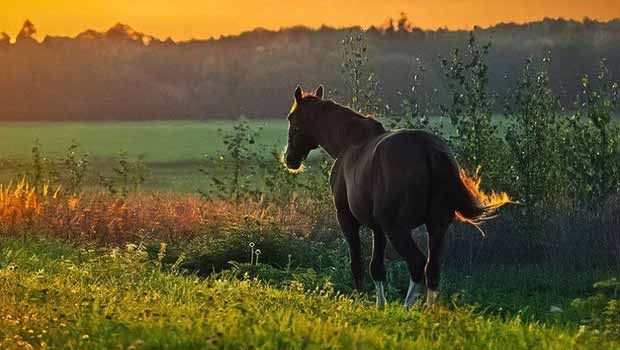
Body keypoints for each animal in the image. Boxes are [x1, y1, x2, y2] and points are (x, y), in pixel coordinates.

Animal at [284, 85, 512, 308]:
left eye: (292, 119)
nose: (289, 159)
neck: (350, 142)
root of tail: (429, 150)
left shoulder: (348, 218)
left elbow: (357, 262)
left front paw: (361, 300)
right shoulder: (378, 228)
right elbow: (377, 267)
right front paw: (380, 306)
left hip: (397, 229)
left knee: (417, 264)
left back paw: (406, 309)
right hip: (436, 227)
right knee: (432, 269)